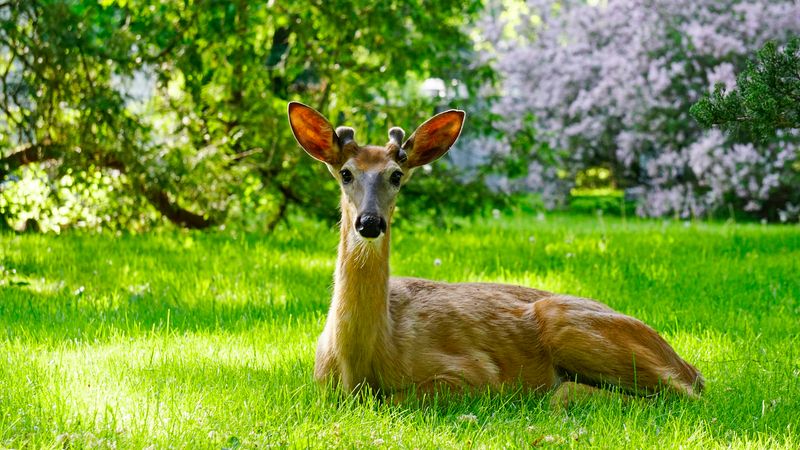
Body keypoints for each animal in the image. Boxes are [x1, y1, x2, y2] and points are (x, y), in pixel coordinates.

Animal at [290, 102, 708, 404]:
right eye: (345, 173)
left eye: (396, 175)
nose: (370, 222)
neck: (361, 363)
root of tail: (686, 363)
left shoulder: (474, 374)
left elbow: (398, 399)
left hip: (565, 321)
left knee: (679, 394)